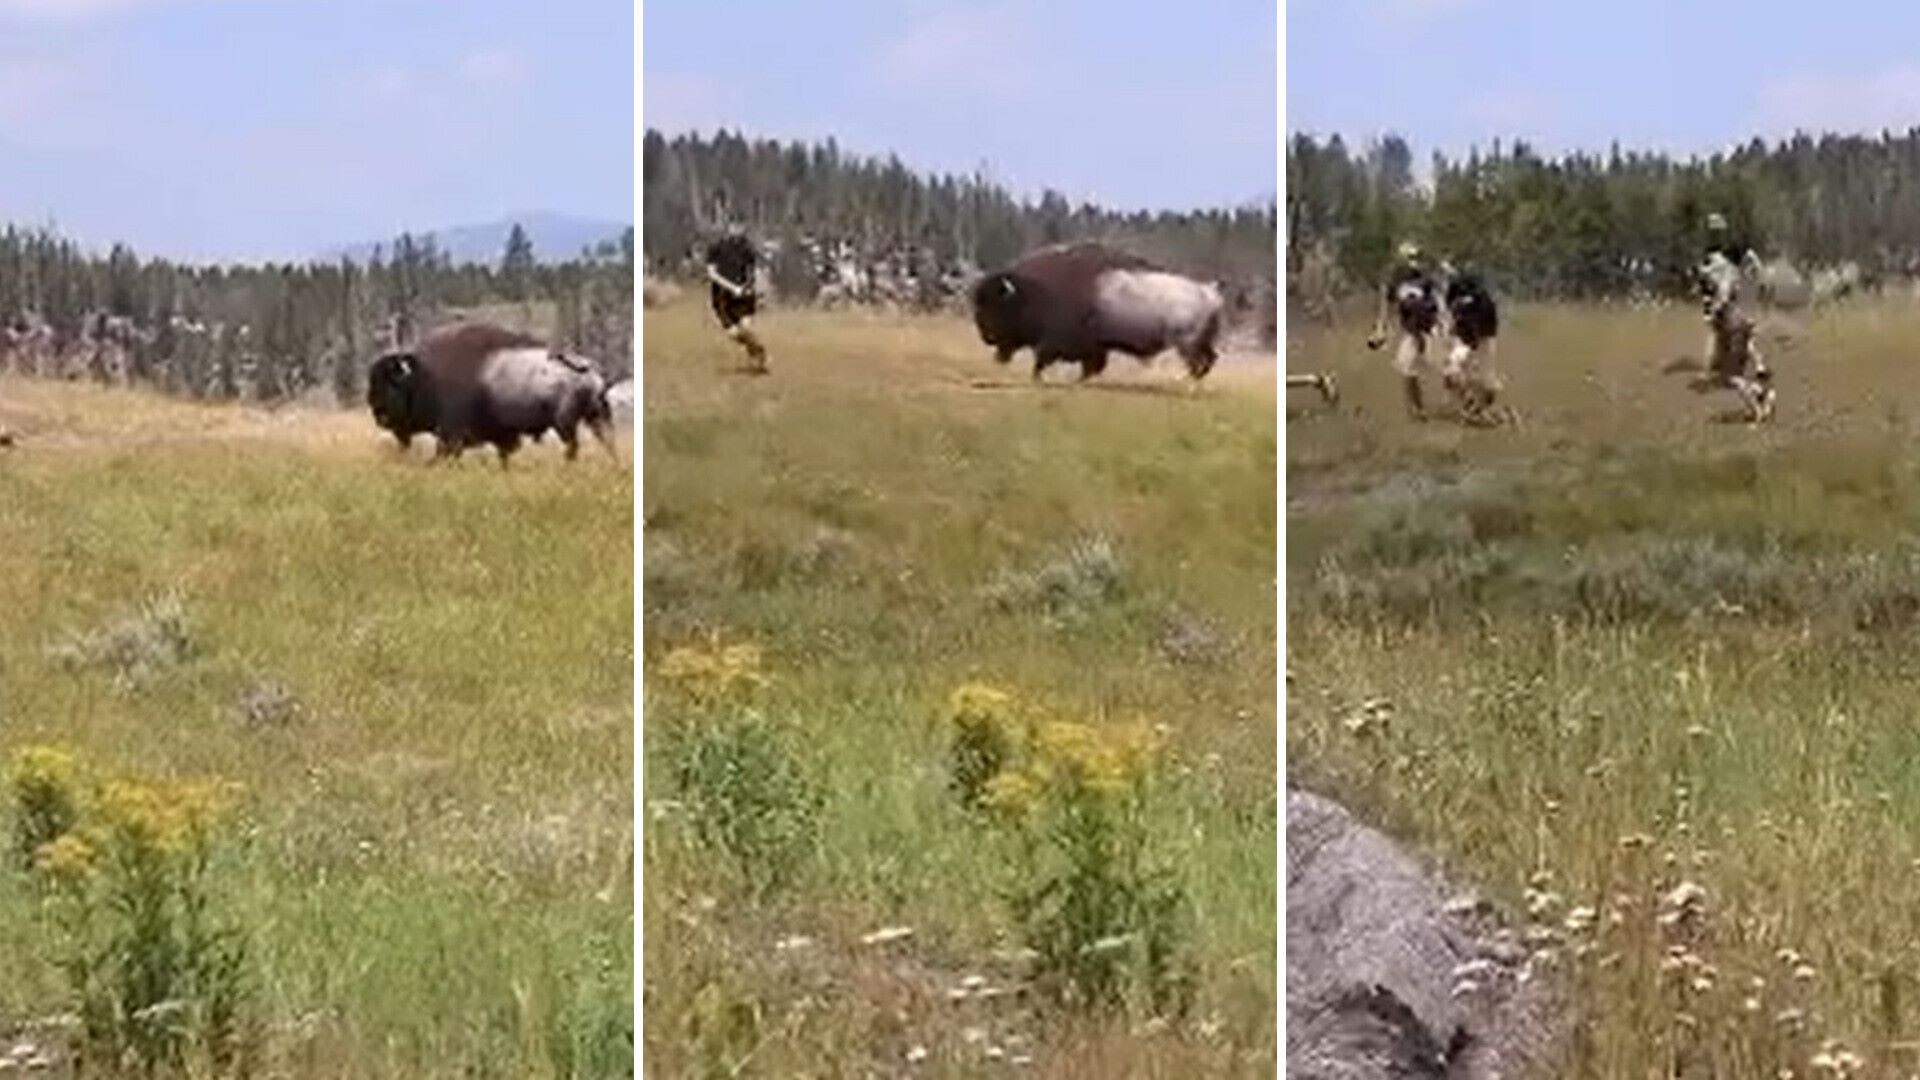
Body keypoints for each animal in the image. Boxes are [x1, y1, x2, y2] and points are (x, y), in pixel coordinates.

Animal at [366, 322, 614, 466]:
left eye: (389, 384)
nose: (377, 413)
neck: (425, 376)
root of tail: (591, 370)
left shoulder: (451, 437)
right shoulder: (500, 436)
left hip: (565, 424)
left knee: (573, 447)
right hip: (596, 417)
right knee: (606, 443)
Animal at [967, 239, 1221, 378]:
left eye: (997, 306)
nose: (986, 336)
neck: (1033, 291)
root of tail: (1210, 292)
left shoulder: (1056, 343)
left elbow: (1043, 360)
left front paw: (1039, 378)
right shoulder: (1095, 347)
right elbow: (1091, 366)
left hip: (1186, 344)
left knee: (1198, 364)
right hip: (1201, 342)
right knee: (1208, 362)